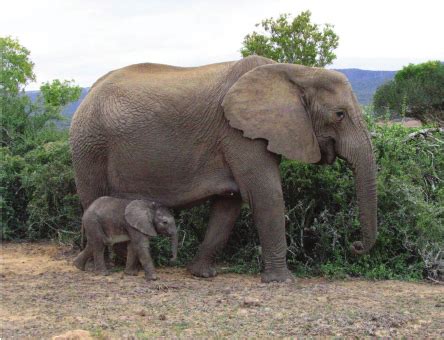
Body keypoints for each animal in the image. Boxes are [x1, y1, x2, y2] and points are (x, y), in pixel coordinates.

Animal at [71, 55, 376, 282]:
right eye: (339, 115)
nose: (356, 246)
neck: (297, 71)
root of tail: (87, 95)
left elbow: (230, 204)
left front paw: (202, 274)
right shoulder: (238, 134)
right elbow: (266, 195)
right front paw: (283, 281)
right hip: (90, 147)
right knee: (94, 199)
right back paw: (104, 268)